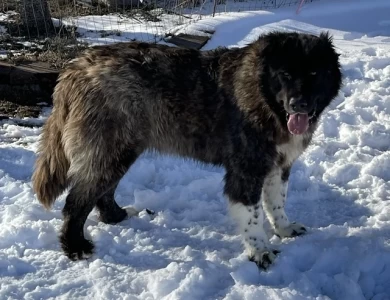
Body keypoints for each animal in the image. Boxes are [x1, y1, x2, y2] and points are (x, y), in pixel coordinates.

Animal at [32, 31, 342, 268]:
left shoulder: (278, 166)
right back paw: (75, 247)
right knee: (77, 201)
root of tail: (76, 67)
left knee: (102, 192)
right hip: (111, 150)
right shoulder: (246, 170)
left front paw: (283, 229)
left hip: (120, 150)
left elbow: (276, 203)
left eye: (315, 73)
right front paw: (259, 251)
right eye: (285, 74)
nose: (299, 104)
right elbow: (253, 216)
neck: (263, 96)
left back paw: (116, 216)